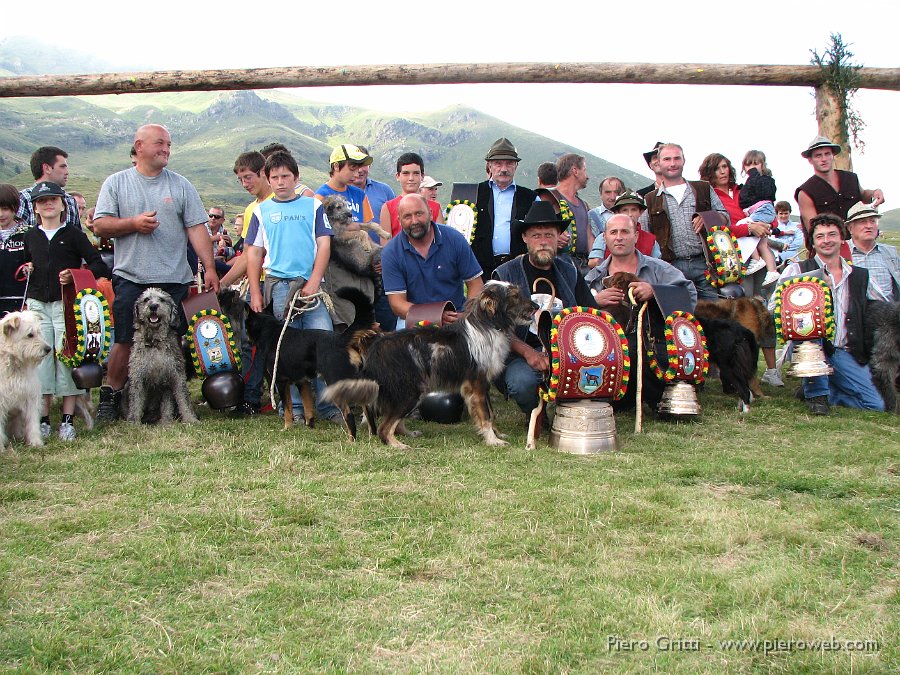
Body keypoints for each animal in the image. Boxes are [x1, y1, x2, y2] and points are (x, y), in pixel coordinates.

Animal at [0, 312, 51, 448]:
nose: (48, 349)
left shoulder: (31, 397)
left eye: (39, 332)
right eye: (30, 334)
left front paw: (36, 443)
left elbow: (32, 422)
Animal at [125, 288, 196, 426]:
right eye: (146, 299)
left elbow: (182, 400)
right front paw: (133, 422)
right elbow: (135, 402)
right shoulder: (137, 378)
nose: (153, 306)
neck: (155, 342)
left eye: (162, 299)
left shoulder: (175, 376)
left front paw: (188, 419)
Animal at [243, 286, 376, 438]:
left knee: (348, 414)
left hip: (335, 382)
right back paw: (372, 435)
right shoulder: (303, 382)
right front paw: (310, 426)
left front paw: (287, 428)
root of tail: (340, 339)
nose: (246, 340)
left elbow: (288, 408)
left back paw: (351, 439)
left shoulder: (281, 381)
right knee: (367, 408)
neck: (271, 333)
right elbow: (308, 408)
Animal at [324, 280, 536, 448]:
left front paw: (496, 434)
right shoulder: (477, 385)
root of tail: (375, 348)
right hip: (409, 392)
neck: (488, 325)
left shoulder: (483, 385)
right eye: (515, 296)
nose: (535, 306)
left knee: (393, 422)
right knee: (384, 428)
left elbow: (490, 415)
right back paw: (397, 445)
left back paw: (407, 434)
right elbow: (485, 416)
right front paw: (493, 441)